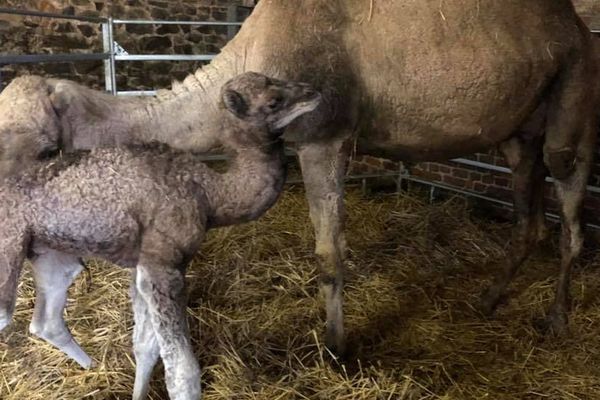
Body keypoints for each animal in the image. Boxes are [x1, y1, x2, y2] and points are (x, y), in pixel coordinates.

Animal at [0, 72, 322, 400]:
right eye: (273, 101)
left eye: (281, 80)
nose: (314, 92)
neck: (209, 195)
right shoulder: (164, 262)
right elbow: (183, 371)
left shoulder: (143, 264)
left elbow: (146, 346)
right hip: (8, 248)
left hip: (48, 253)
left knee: (47, 320)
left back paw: (91, 366)